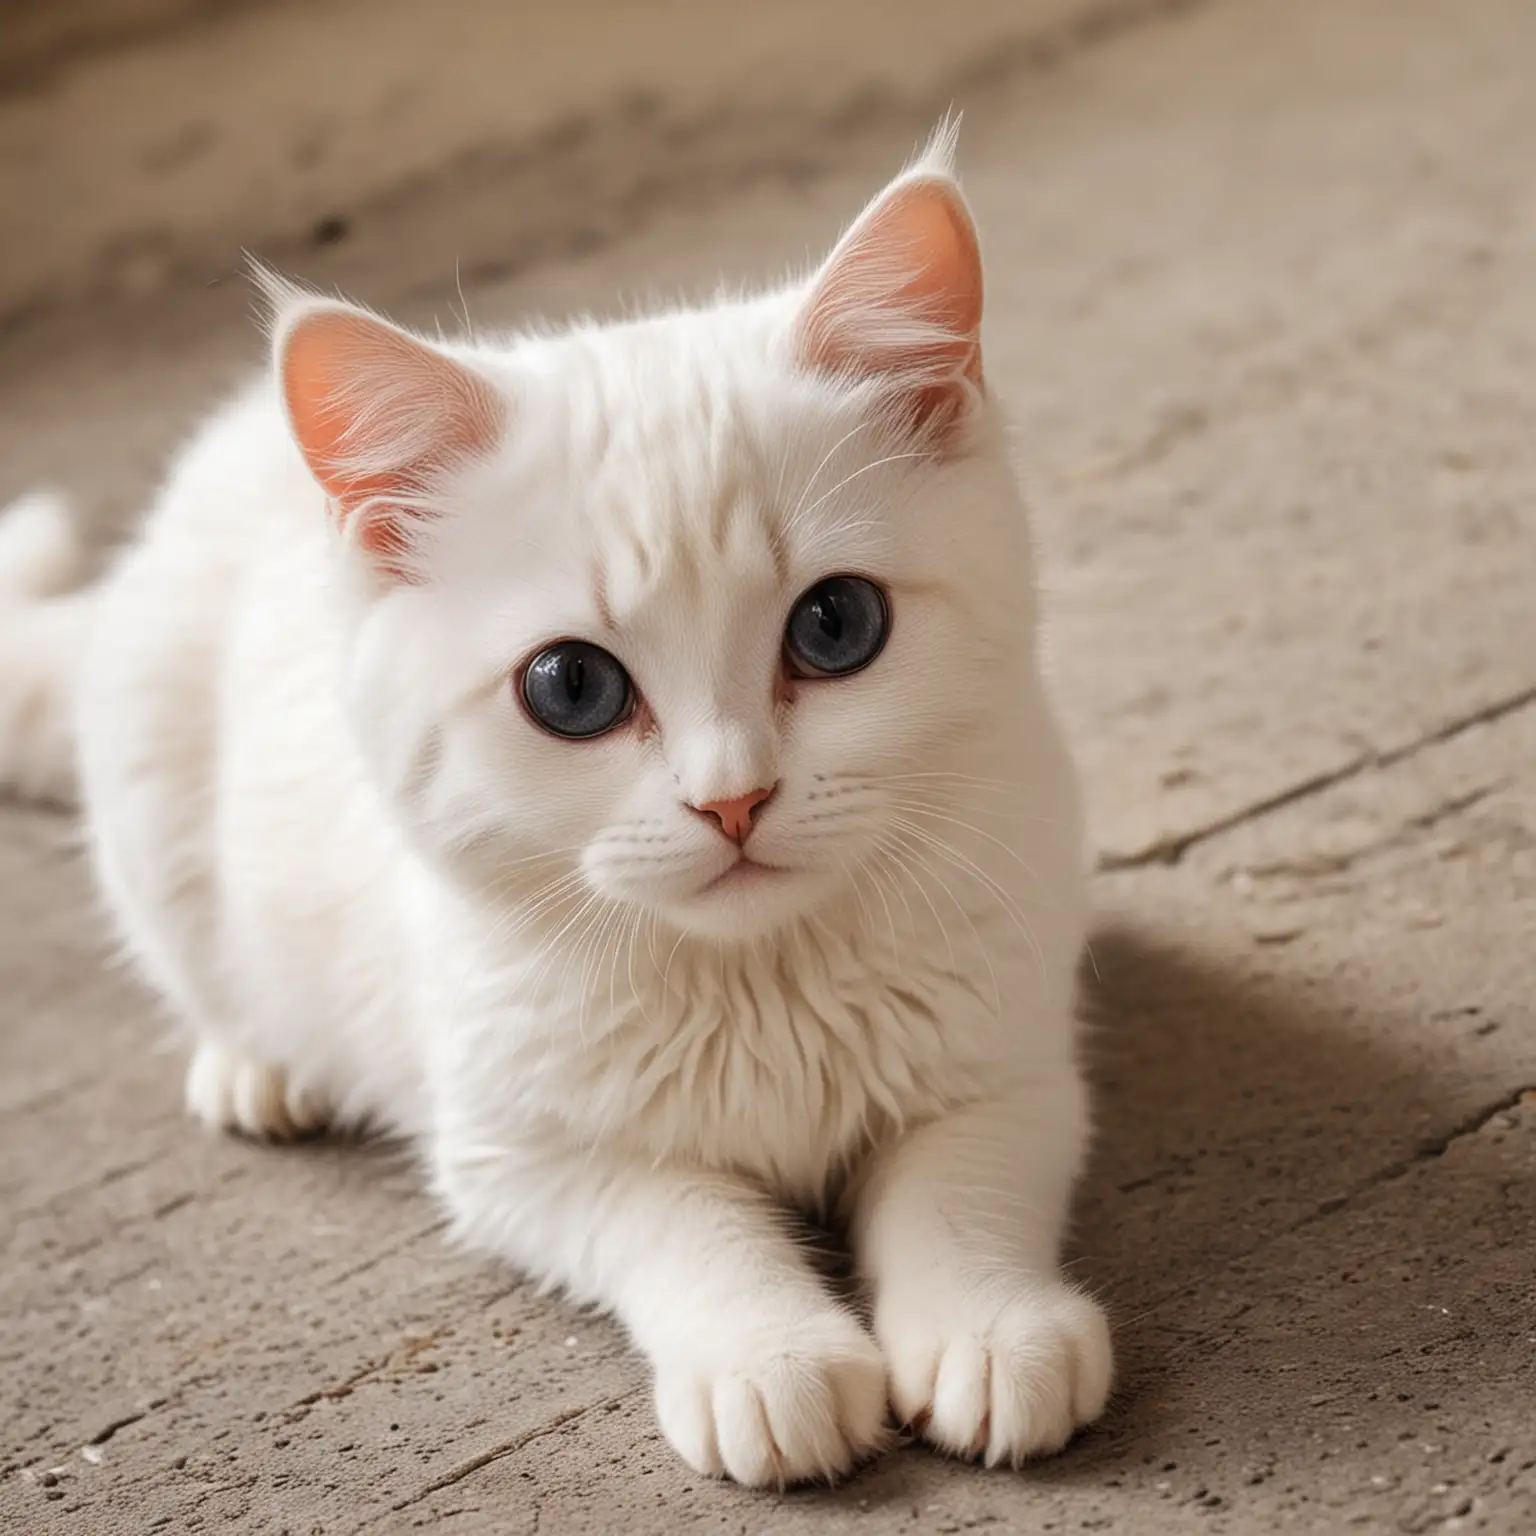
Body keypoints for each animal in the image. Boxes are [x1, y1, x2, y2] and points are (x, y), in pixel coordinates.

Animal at [0, 135, 1112, 1486]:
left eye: (837, 625)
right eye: (571, 687)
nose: (734, 798)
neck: (761, 980)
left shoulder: (1008, 1066)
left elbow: (963, 1186)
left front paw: (988, 1328)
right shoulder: (523, 1158)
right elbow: (684, 1221)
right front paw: (770, 1356)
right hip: (148, 781)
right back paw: (257, 1065)